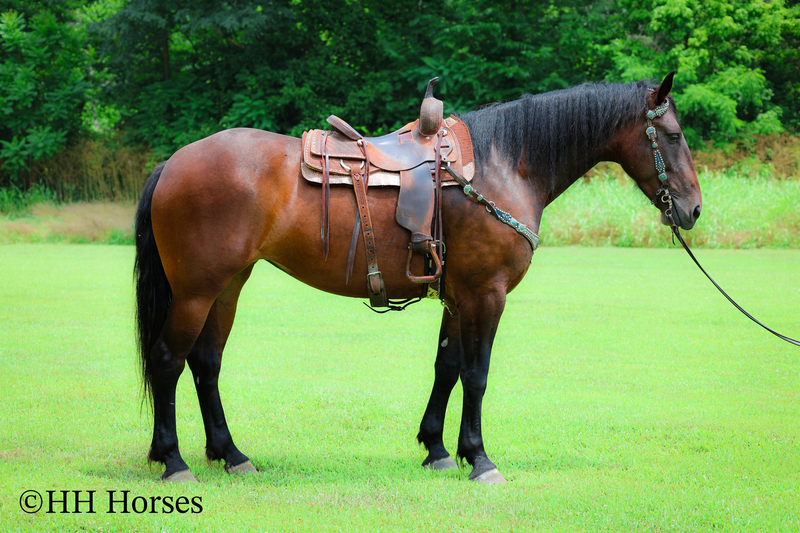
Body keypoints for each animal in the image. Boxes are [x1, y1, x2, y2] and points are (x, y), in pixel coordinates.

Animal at [134, 72, 702, 484]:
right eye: (674, 136)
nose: (694, 209)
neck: (503, 166)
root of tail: (173, 162)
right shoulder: (486, 295)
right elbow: (476, 374)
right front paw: (480, 459)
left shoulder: (458, 297)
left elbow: (446, 368)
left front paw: (438, 449)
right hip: (196, 291)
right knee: (167, 360)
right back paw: (174, 460)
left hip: (227, 286)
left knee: (205, 363)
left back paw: (230, 454)